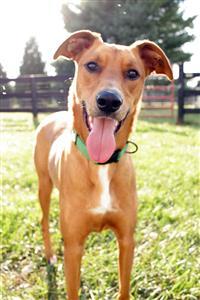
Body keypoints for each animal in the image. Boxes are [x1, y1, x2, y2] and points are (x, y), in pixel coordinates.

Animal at [33, 31, 173, 300]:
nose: (109, 101)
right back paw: (49, 255)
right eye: (91, 65)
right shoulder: (74, 245)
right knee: (44, 221)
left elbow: (124, 289)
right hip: (43, 185)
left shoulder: (127, 240)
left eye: (132, 73)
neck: (101, 165)